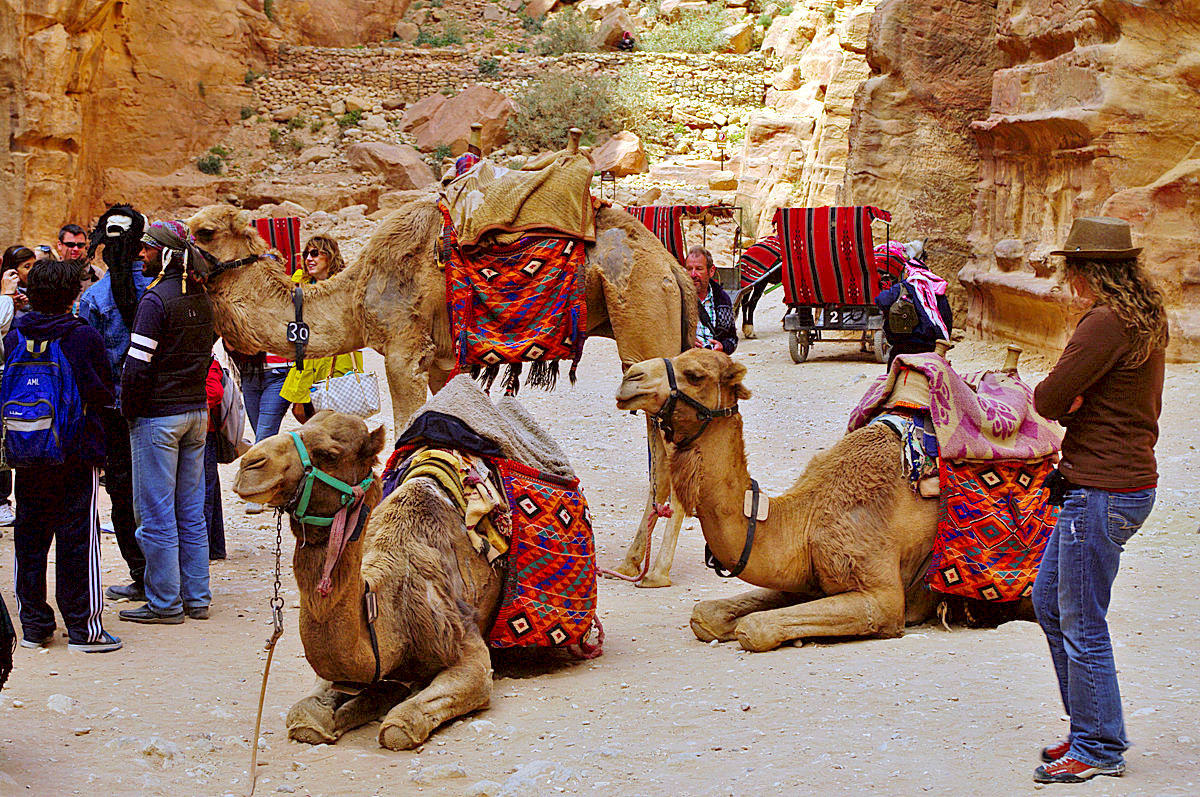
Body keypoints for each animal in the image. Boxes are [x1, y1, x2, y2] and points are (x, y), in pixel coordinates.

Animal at [187, 199, 696, 585]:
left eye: (203, 231)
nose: (167, 240)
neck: (355, 297)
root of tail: (673, 267)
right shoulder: (440, 364)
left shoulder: (403, 352)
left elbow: (404, 435)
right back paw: (632, 562)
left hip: (642, 315)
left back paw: (656, 570)